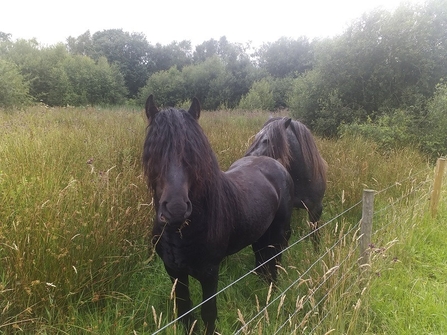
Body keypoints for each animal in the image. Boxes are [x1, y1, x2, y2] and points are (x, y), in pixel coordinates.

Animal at [143, 96, 294, 334]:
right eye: (154, 153)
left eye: (193, 154)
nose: (176, 209)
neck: (180, 232)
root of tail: (273, 162)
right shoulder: (174, 271)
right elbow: (185, 312)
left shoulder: (210, 273)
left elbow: (208, 314)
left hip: (279, 232)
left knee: (275, 258)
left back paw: (273, 292)